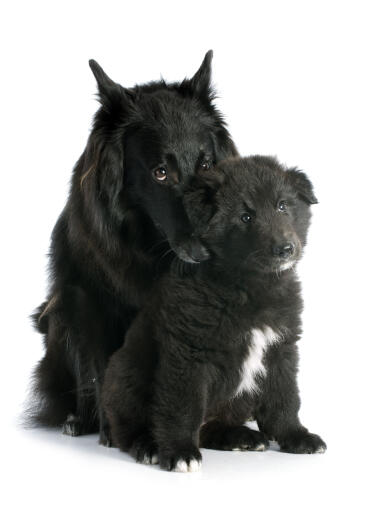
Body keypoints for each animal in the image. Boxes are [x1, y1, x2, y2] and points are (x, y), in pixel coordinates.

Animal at [28, 53, 237, 444]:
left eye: (205, 164)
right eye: (160, 173)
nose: (207, 253)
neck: (149, 242)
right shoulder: (88, 299)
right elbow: (100, 369)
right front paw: (121, 434)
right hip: (59, 312)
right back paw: (80, 421)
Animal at [102, 156, 326, 472]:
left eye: (283, 205)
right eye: (245, 217)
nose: (285, 249)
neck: (249, 287)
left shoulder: (280, 348)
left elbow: (285, 399)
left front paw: (296, 437)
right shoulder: (189, 354)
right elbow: (184, 407)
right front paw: (180, 451)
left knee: (212, 426)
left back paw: (240, 437)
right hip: (126, 373)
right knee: (128, 427)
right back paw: (148, 446)